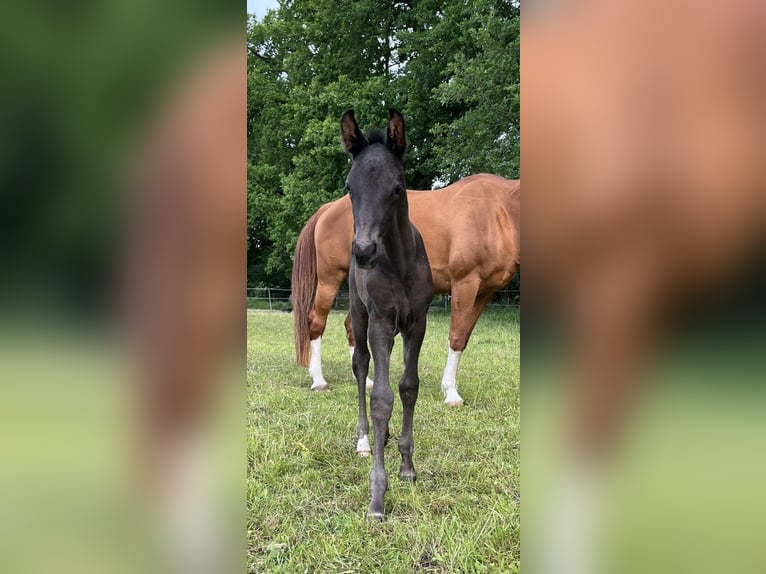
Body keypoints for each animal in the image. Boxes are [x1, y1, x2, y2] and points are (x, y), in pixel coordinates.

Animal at [292, 173, 520, 408]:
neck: (498, 212)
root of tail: (328, 208)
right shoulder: (465, 283)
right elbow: (456, 336)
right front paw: (450, 393)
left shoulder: (484, 292)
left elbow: (464, 337)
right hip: (330, 279)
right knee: (316, 322)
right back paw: (319, 380)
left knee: (351, 326)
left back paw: (364, 380)